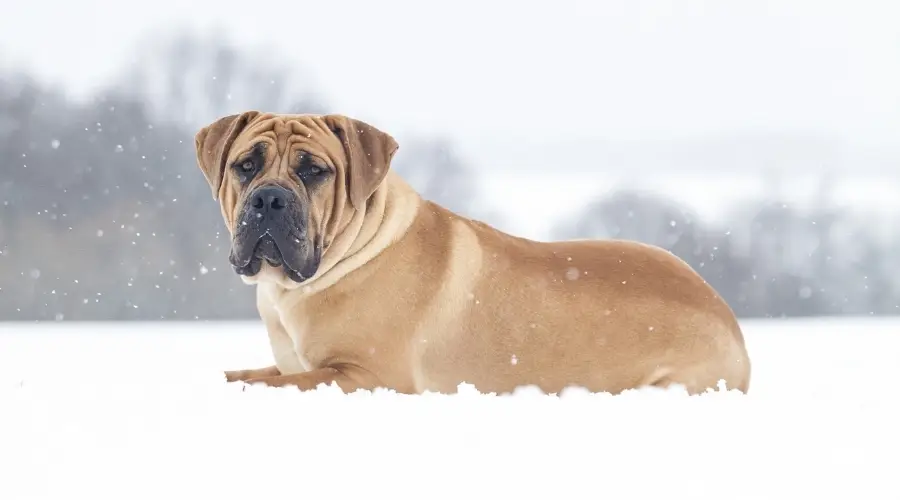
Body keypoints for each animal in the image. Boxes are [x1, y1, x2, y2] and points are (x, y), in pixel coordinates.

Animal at [197, 111, 752, 396]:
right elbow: (254, 374)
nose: (270, 199)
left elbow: (277, 385)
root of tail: (728, 314)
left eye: (314, 171)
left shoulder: (367, 376)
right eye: (246, 165)